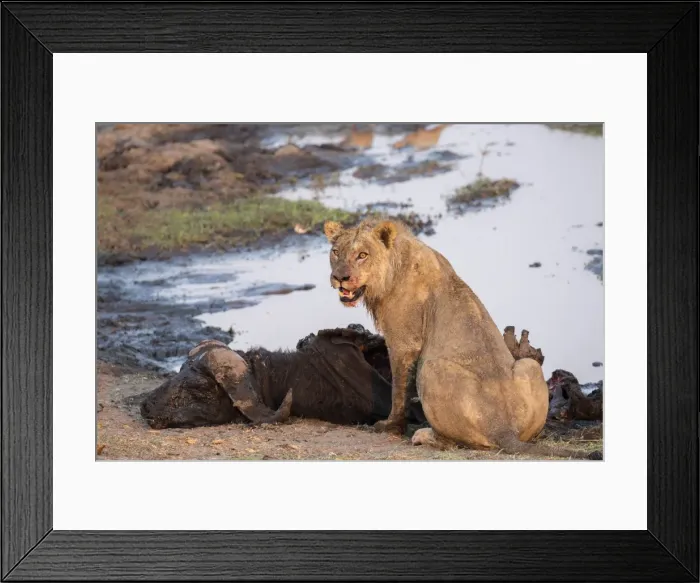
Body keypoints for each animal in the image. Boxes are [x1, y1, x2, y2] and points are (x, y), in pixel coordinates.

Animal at [323, 218, 601, 460]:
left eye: (362, 255)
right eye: (335, 252)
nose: (340, 278)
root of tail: (503, 428)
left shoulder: (403, 342)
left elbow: (398, 390)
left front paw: (390, 426)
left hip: (430, 368)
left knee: (455, 442)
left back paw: (424, 435)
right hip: (529, 366)